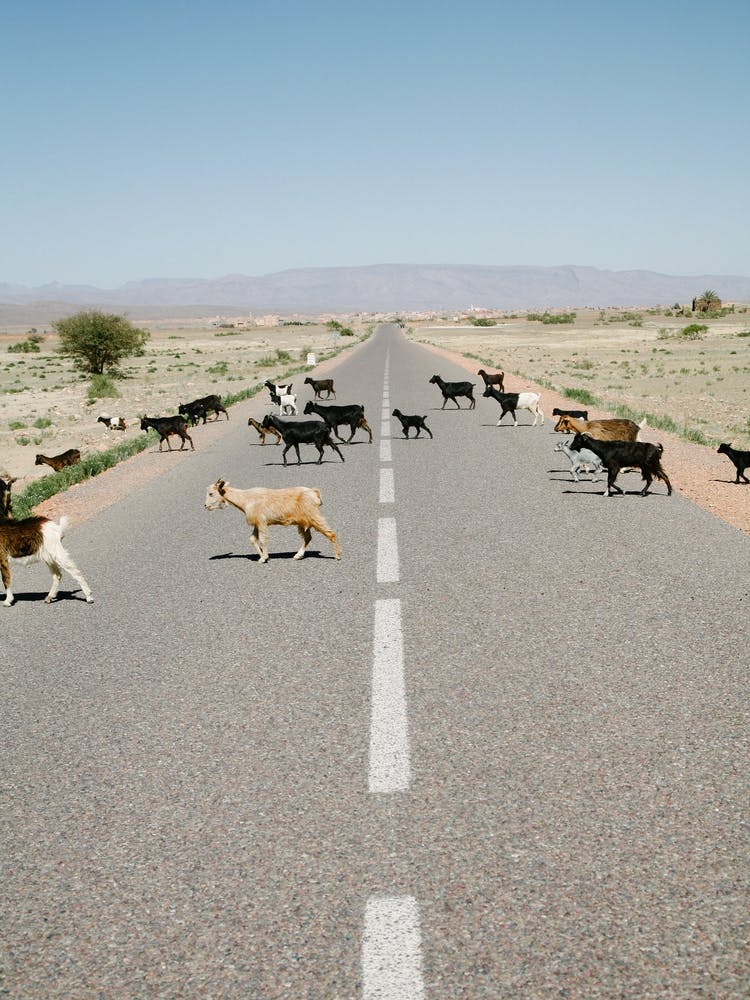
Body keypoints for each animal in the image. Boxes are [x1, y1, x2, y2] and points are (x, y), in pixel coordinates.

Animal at [0, 476, 93, 606]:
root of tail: (56, 528)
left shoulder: (3, 559)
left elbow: (6, 580)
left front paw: (8, 601)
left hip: (57, 554)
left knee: (75, 572)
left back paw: (89, 597)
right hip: (49, 557)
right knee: (57, 575)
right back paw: (49, 597)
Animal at [205, 479, 341, 562]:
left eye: (211, 493)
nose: (205, 506)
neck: (245, 499)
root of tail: (314, 492)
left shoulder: (261, 521)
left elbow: (263, 539)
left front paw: (264, 558)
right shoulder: (257, 523)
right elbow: (253, 539)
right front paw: (263, 557)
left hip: (313, 515)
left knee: (331, 533)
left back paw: (337, 556)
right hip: (303, 521)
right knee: (308, 537)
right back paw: (298, 555)